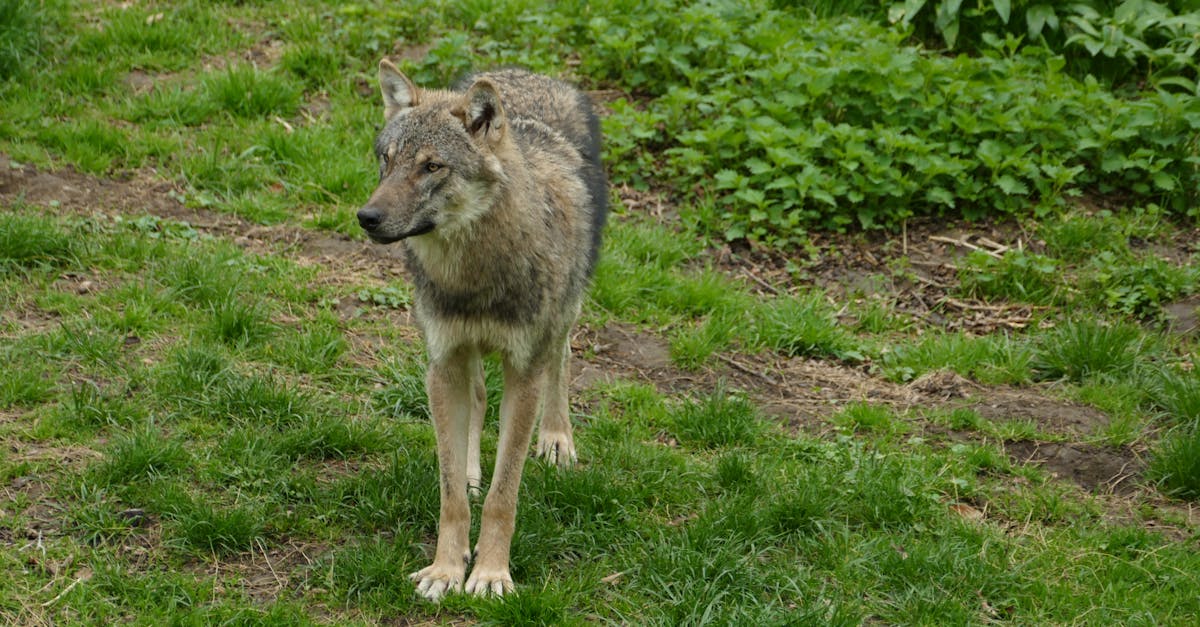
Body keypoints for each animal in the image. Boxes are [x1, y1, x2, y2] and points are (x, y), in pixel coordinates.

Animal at [356, 59, 607, 600]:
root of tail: (528, 74)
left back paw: (557, 440)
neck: (473, 276)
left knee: (563, 358)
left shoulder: (524, 373)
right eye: (387, 160)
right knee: (476, 398)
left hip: (565, 311)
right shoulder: (442, 364)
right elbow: (450, 493)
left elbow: (503, 495)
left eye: (432, 167)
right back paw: (474, 471)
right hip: (463, 357)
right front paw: (446, 569)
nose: (367, 217)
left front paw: (491, 574)